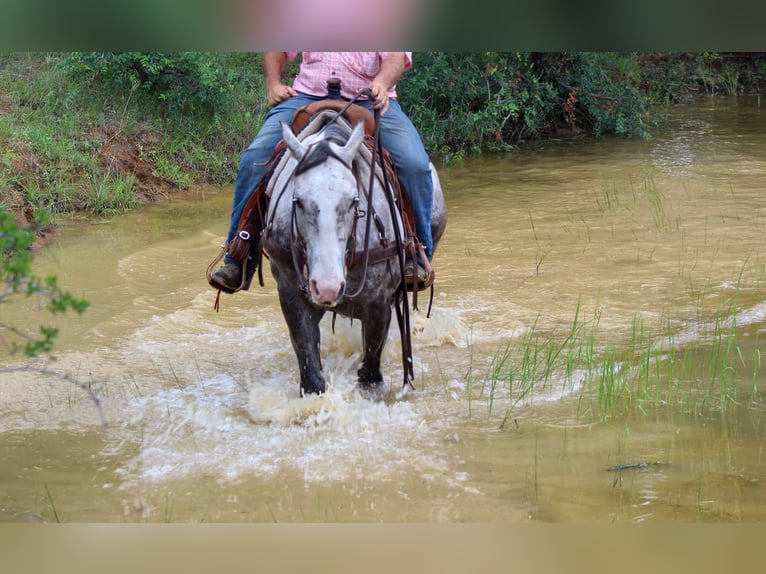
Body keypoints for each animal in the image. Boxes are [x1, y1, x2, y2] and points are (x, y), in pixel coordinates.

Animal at [259, 106, 447, 396]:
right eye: (298, 201)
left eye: (353, 201)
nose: (327, 287)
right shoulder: (290, 295)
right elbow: (310, 373)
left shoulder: (378, 302)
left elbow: (370, 374)